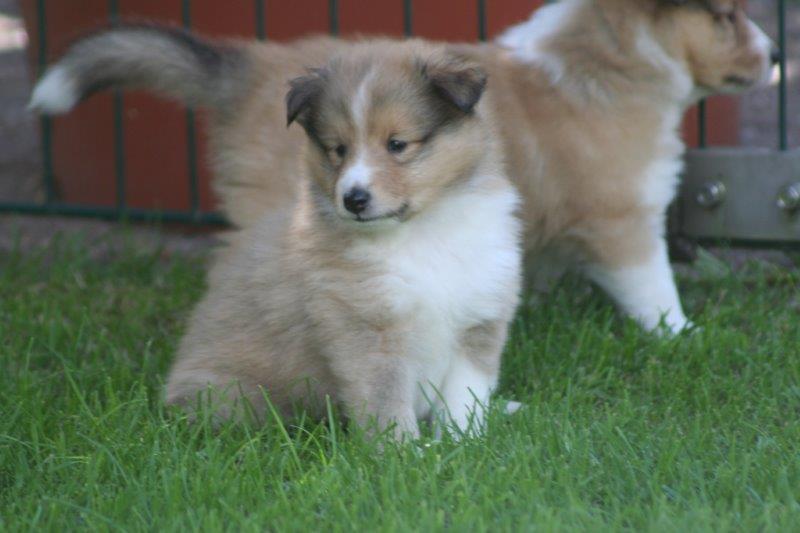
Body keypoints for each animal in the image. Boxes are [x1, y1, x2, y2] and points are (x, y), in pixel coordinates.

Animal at [30, 0, 775, 334]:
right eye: (727, 15)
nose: (774, 56)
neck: (614, 55)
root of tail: (244, 70)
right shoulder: (624, 218)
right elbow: (654, 289)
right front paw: (682, 338)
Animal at [150, 43, 519, 437]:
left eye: (397, 144)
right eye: (338, 149)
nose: (354, 199)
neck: (423, 230)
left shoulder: (479, 318)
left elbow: (464, 399)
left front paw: (464, 441)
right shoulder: (368, 332)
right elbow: (387, 405)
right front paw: (405, 449)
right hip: (233, 393)